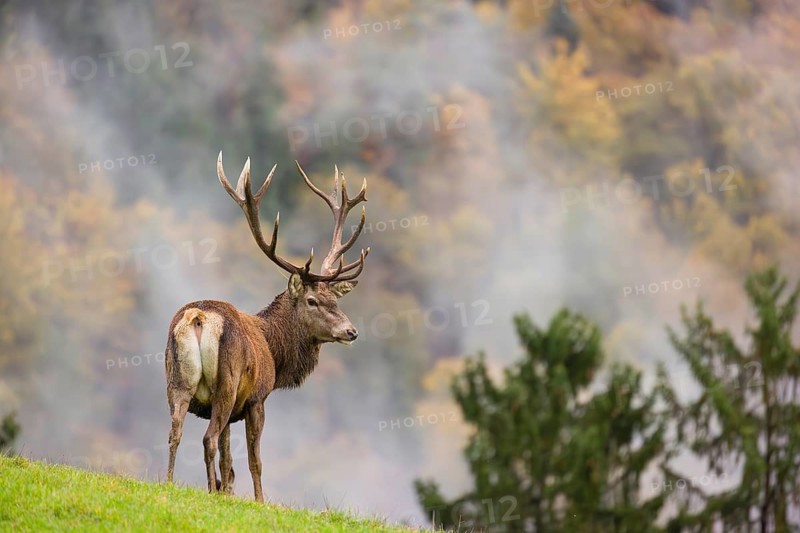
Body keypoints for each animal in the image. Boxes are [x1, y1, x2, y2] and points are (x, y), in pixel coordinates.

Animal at [164, 152, 369, 501]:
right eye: (312, 301)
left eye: (334, 299)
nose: (351, 331)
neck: (275, 350)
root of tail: (199, 317)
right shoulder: (256, 398)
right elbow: (253, 460)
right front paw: (260, 501)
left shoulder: (231, 407)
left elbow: (229, 459)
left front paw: (227, 494)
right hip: (227, 381)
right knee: (207, 439)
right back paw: (206, 490)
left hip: (176, 382)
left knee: (175, 432)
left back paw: (168, 483)